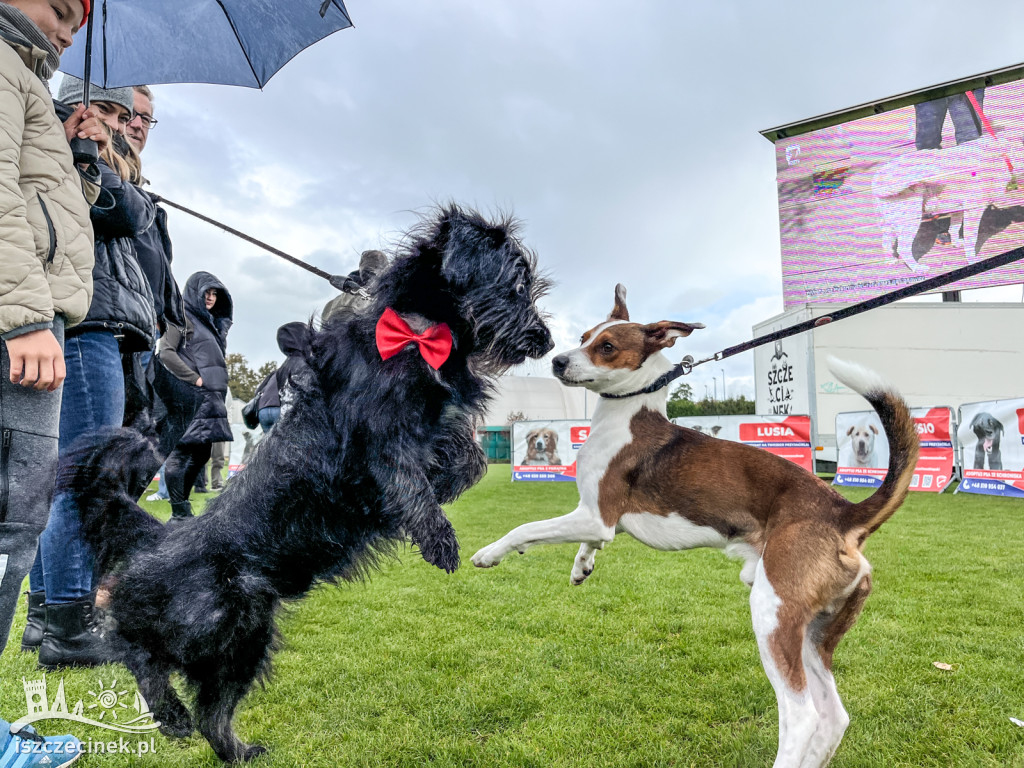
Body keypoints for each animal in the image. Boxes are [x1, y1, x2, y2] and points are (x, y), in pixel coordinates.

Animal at [64, 204, 552, 765]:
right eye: (516, 283)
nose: (547, 340)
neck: (417, 332)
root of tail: (160, 537)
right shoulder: (378, 438)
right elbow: (407, 479)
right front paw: (438, 538)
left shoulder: (439, 424)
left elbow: (471, 460)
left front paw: (446, 483)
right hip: (219, 623)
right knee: (132, 645)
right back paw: (169, 711)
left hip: (239, 637)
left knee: (207, 708)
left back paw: (221, 742)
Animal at [471, 286, 921, 768]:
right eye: (584, 336)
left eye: (606, 347)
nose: (557, 361)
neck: (629, 415)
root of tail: (842, 513)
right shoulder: (602, 521)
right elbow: (590, 544)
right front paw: (582, 565)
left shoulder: (596, 515)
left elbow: (526, 528)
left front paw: (491, 553)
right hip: (813, 635)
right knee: (834, 716)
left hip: (773, 616)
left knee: (802, 717)